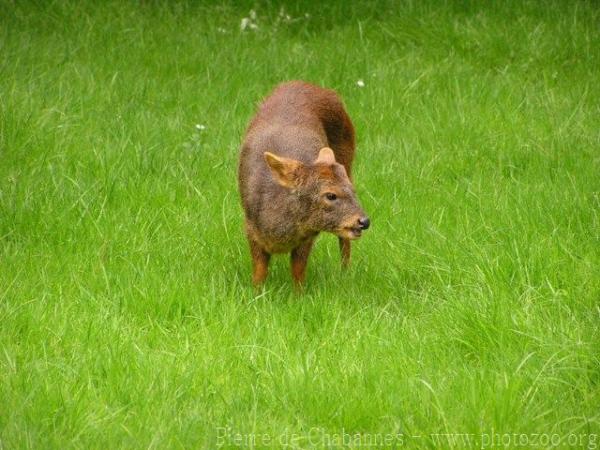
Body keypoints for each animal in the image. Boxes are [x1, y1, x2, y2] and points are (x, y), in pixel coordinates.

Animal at [237, 80, 368, 284]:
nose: (364, 221)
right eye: (330, 195)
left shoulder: (307, 237)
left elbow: (298, 271)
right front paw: (256, 291)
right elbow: (259, 272)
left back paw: (345, 273)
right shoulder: (250, 227)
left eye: (352, 190)